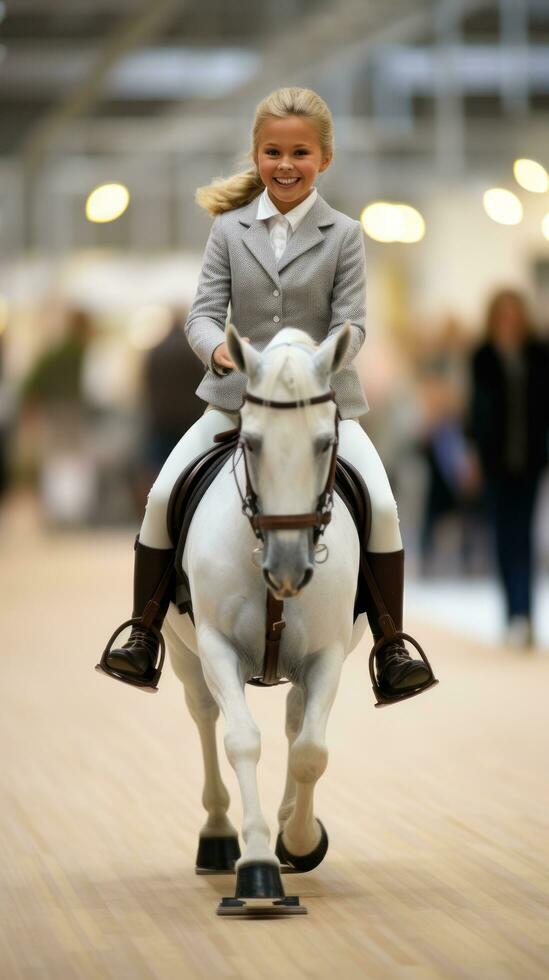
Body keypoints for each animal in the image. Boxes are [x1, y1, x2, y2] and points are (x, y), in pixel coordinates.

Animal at [165, 324, 366, 912]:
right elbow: (241, 741)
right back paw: (217, 836)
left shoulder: (326, 656)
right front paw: (256, 867)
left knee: (298, 724)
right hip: (185, 656)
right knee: (204, 716)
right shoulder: (215, 647)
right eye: (251, 442)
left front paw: (299, 841)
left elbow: (310, 753)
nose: (289, 566)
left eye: (325, 443)